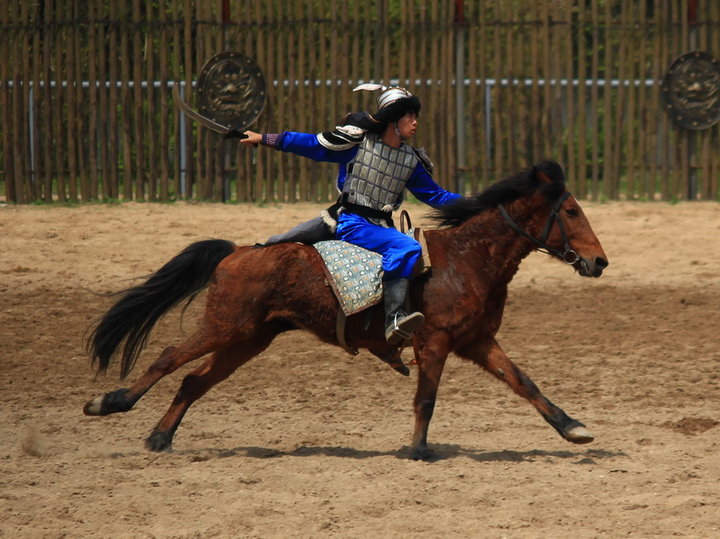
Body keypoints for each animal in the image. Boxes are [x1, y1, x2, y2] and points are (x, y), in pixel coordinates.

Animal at [87, 160, 612, 460]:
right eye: (570, 212)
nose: (600, 261)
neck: (465, 259)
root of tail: (238, 251)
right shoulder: (435, 343)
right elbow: (426, 398)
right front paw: (418, 450)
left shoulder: (478, 342)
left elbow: (524, 382)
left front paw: (573, 428)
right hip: (224, 326)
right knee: (168, 357)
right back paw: (110, 403)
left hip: (248, 339)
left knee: (194, 380)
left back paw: (160, 438)